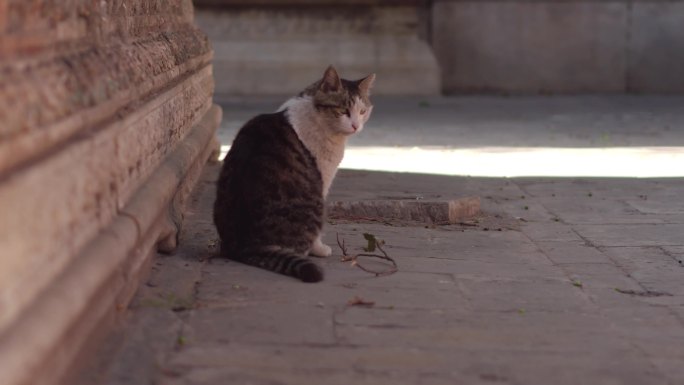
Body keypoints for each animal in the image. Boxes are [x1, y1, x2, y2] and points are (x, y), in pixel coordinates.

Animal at [212, 66, 374, 282]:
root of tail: (245, 245)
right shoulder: (323, 180)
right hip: (315, 203)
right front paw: (320, 249)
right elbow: (317, 237)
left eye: (363, 111)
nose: (356, 126)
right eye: (343, 111)